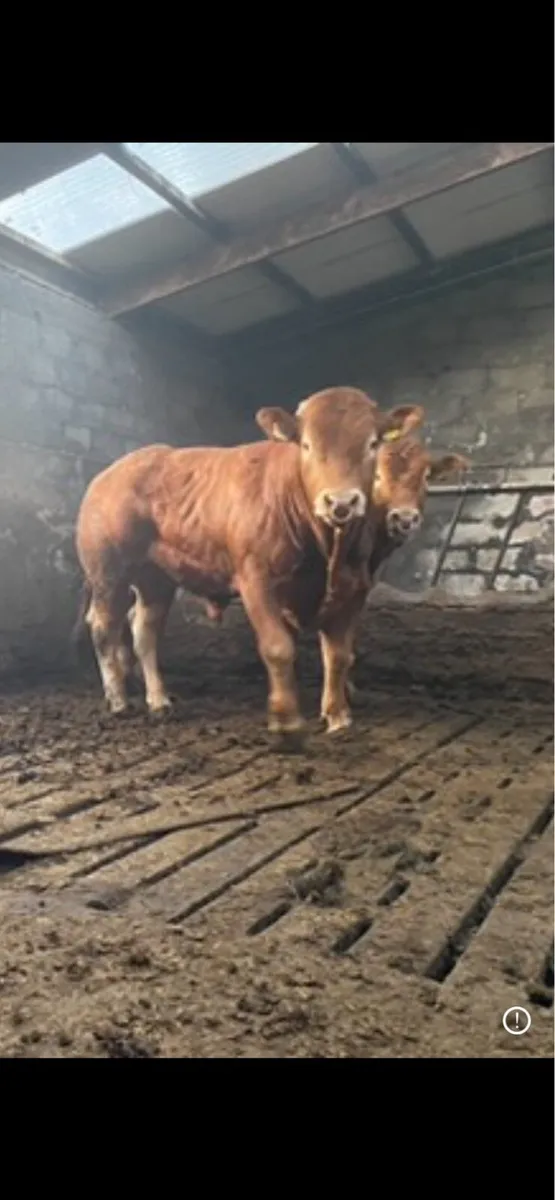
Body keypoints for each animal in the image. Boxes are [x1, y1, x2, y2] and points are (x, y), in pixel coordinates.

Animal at [74, 387, 423, 735]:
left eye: (372, 444)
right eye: (307, 445)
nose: (340, 502)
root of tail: (110, 473)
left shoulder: (354, 588)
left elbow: (338, 655)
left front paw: (337, 717)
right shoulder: (257, 580)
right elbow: (278, 648)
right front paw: (286, 719)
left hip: (156, 578)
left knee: (144, 630)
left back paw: (159, 700)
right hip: (108, 572)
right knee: (104, 625)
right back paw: (118, 700)